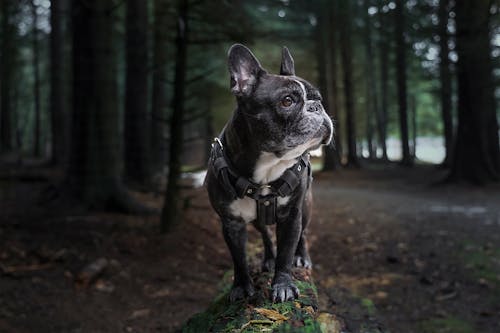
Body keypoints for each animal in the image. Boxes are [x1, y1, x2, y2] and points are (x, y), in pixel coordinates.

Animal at [205, 44, 334, 304]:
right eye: (287, 101)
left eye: (318, 99)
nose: (317, 107)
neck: (267, 167)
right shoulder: (231, 223)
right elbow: (239, 259)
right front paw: (241, 286)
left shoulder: (292, 215)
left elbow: (286, 252)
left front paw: (283, 285)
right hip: (256, 221)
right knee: (265, 233)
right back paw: (268, 259)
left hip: (306, 206)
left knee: (303, 234)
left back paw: (301, 257)